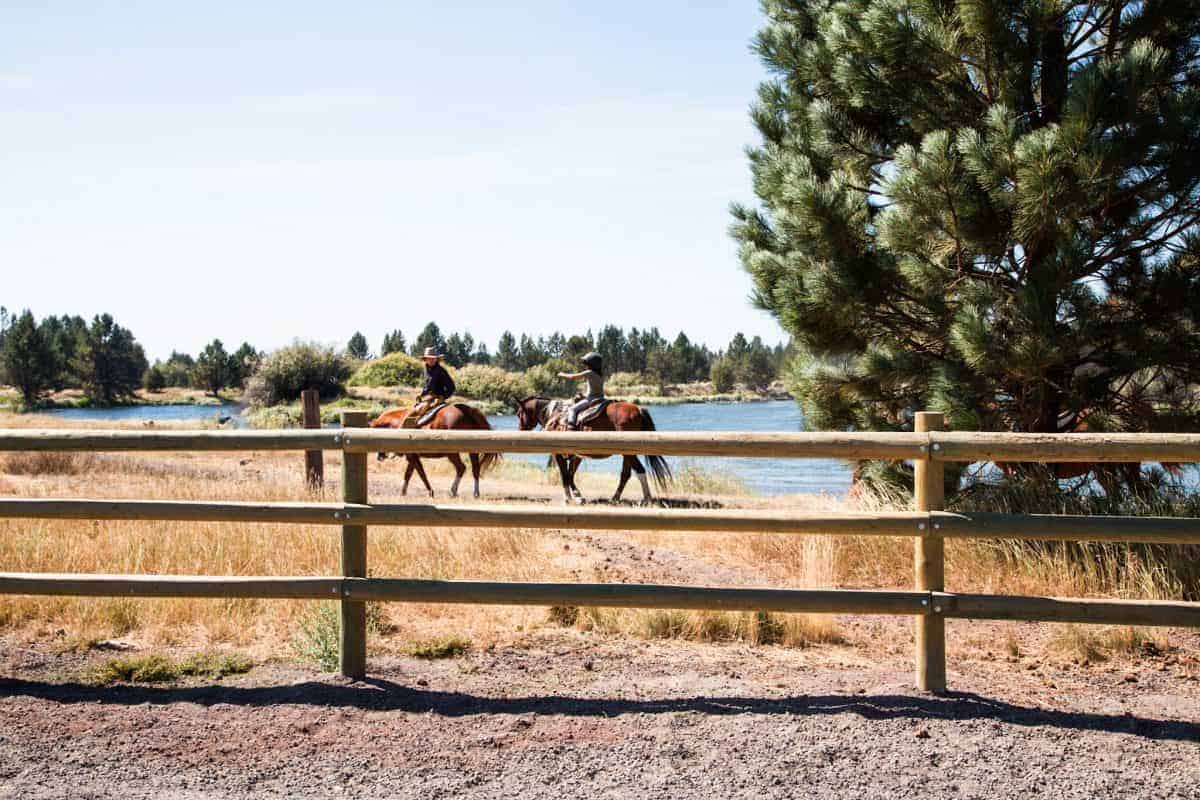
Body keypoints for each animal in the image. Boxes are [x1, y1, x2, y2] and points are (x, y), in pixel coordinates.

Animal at [364, 402, 496, 496]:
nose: (379, 457)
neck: (398, 422)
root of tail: (467, 413)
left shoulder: (412, 457)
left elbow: (421, 474)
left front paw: (430, 492)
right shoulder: (412, 456)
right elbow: (409, 473)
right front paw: (403, 492)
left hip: (452, 453)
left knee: (461, 468)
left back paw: (454, 490)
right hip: (472, 451)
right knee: (475, 469)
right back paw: (475, 492)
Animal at [511, 395, 672, 506]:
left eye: (519, 414)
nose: (520, 430)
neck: (555, 416)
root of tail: (638, 409)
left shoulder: (558, 454)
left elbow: (565, 475)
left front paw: (570, 497)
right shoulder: (577, 456)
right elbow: (571, 474)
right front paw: (577, 496)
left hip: (629, 453)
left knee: (639, 470)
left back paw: (646, 499)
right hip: (627, 453)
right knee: (626, 474)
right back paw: (615, 498)